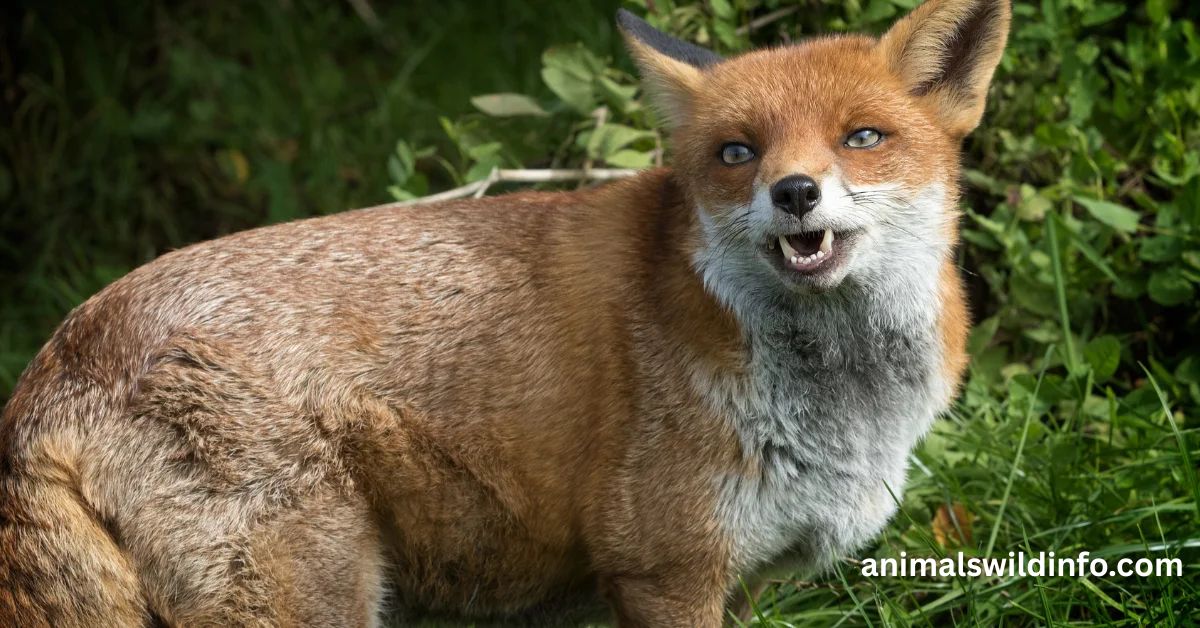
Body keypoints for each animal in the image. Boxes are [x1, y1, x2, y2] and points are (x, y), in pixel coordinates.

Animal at [0, 1, 1009, 626]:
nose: (795, 192)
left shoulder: (740, 577)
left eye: (863, 137)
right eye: (737, 153)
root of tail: (60, 353)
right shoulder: (666, 569)